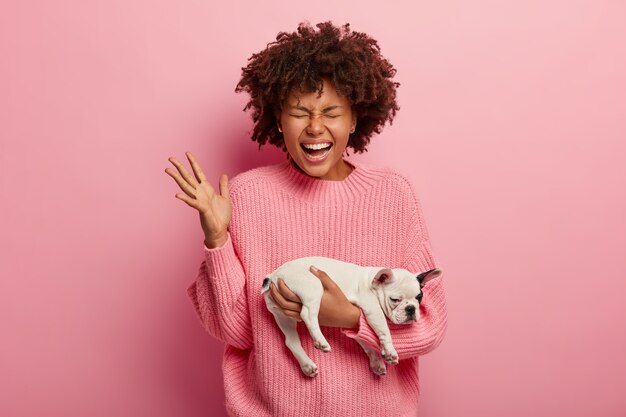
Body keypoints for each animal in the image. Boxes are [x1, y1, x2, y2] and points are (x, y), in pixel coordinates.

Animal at [260, 256, 442, 376]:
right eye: (395, 300)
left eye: (419, 297)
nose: (411, 309)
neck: (374, 284)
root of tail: (275, 275)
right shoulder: (373, 309)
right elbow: (384, 330)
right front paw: (390, 351)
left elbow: (366, 343)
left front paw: (377, 361)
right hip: (312, 288)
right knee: (308, 313)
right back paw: (320, 341)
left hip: (282, 316)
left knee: (291, 341)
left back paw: (307, 365)